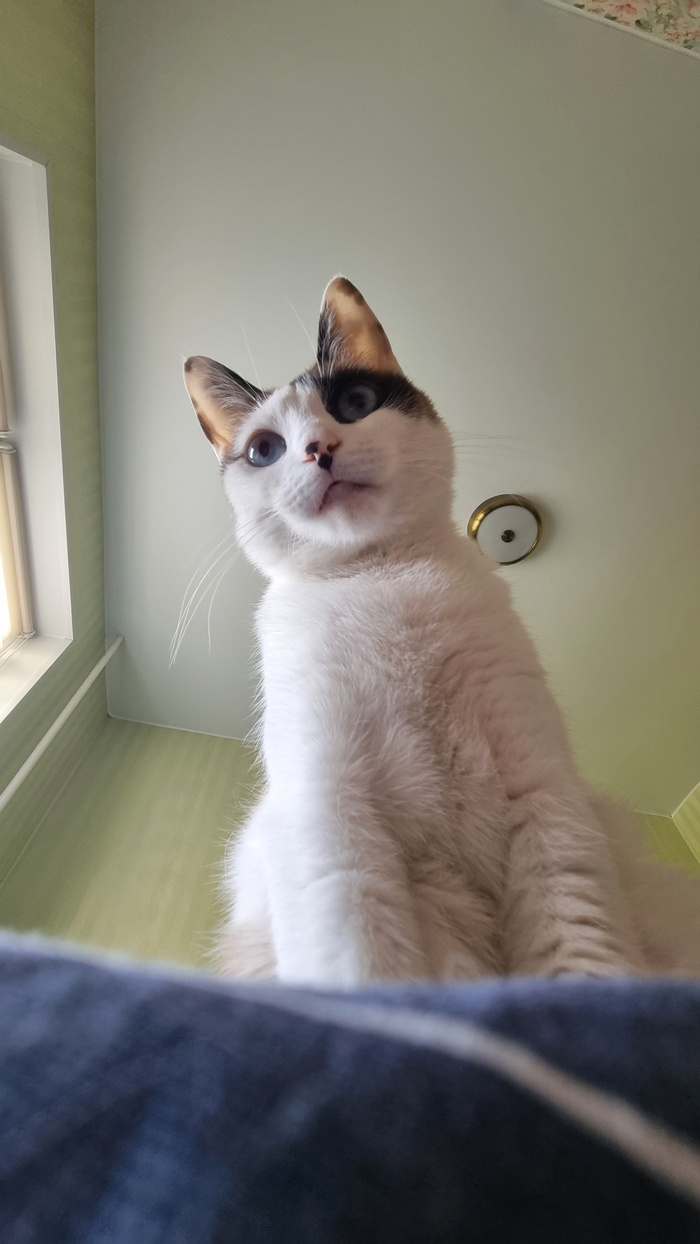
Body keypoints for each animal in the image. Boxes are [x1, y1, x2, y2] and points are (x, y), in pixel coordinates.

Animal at [184, 276, 700, 986]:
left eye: (355, 404)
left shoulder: (545, 795)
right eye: (265, 449)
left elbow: (579, 955)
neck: (381, 579)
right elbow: (366, 972)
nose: (319, 449)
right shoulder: (331, 813)